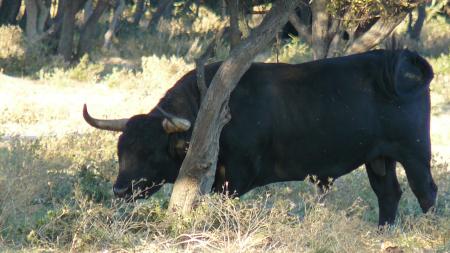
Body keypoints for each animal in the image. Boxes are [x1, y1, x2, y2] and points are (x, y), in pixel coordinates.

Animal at [83, 49, 436, 225]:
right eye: (121, 151)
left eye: (151, 151)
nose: (119, 190)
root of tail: (401, 61)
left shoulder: (235, 178)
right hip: (378, 158)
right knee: (388, 194)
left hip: (415, 154)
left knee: (426, 192)